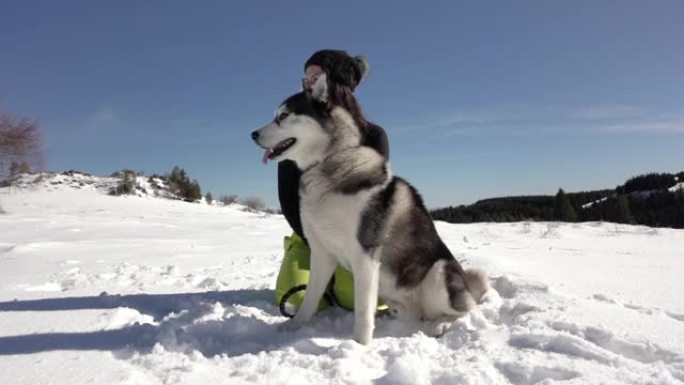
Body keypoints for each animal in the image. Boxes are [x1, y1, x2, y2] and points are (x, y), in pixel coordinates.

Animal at [251, 73, 486, 344]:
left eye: (283, 116)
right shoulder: (322, 253)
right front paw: (294, 326)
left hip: (438, 273)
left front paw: (359, 346)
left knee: (467, 310)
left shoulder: (365, 256)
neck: (327, 163)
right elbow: (309, 298)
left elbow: (363, 312)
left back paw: (441, 324)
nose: (252, 134)